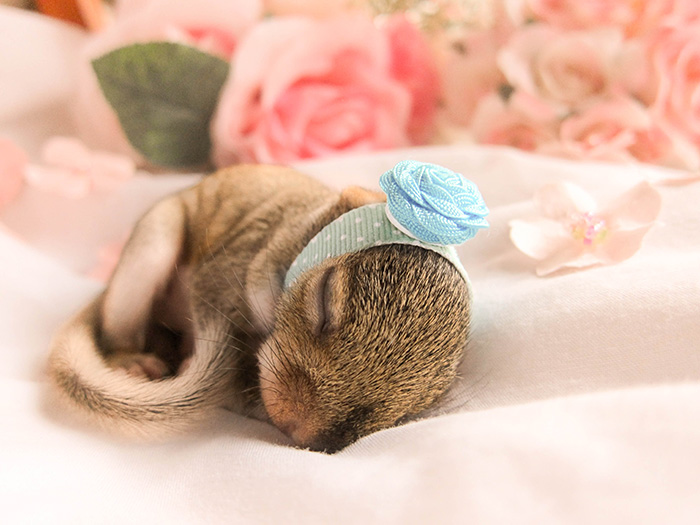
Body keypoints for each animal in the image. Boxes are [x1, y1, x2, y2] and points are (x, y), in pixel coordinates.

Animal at [47, 165, 470, 454]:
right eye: (323, 298)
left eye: (421, 401)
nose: (302, 431)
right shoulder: (228, 270)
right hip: (150, 248)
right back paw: (134, 359)